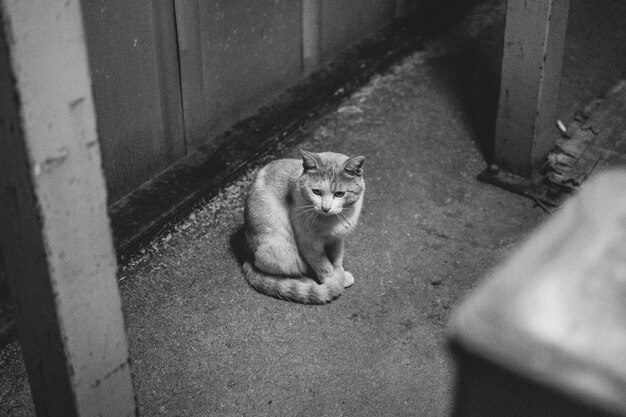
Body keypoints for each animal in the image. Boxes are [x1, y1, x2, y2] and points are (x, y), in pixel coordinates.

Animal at [241, 150, 364, 302]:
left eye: (339, 194)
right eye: (316, 192)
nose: (325, 208)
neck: (331, 222)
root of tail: (247, 254)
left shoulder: (337, 239)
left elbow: (337, 260)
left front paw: (340, 275)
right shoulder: (309, 244)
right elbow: (324, 266)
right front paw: (333, 282)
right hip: (282, 252)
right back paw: (307, 283)